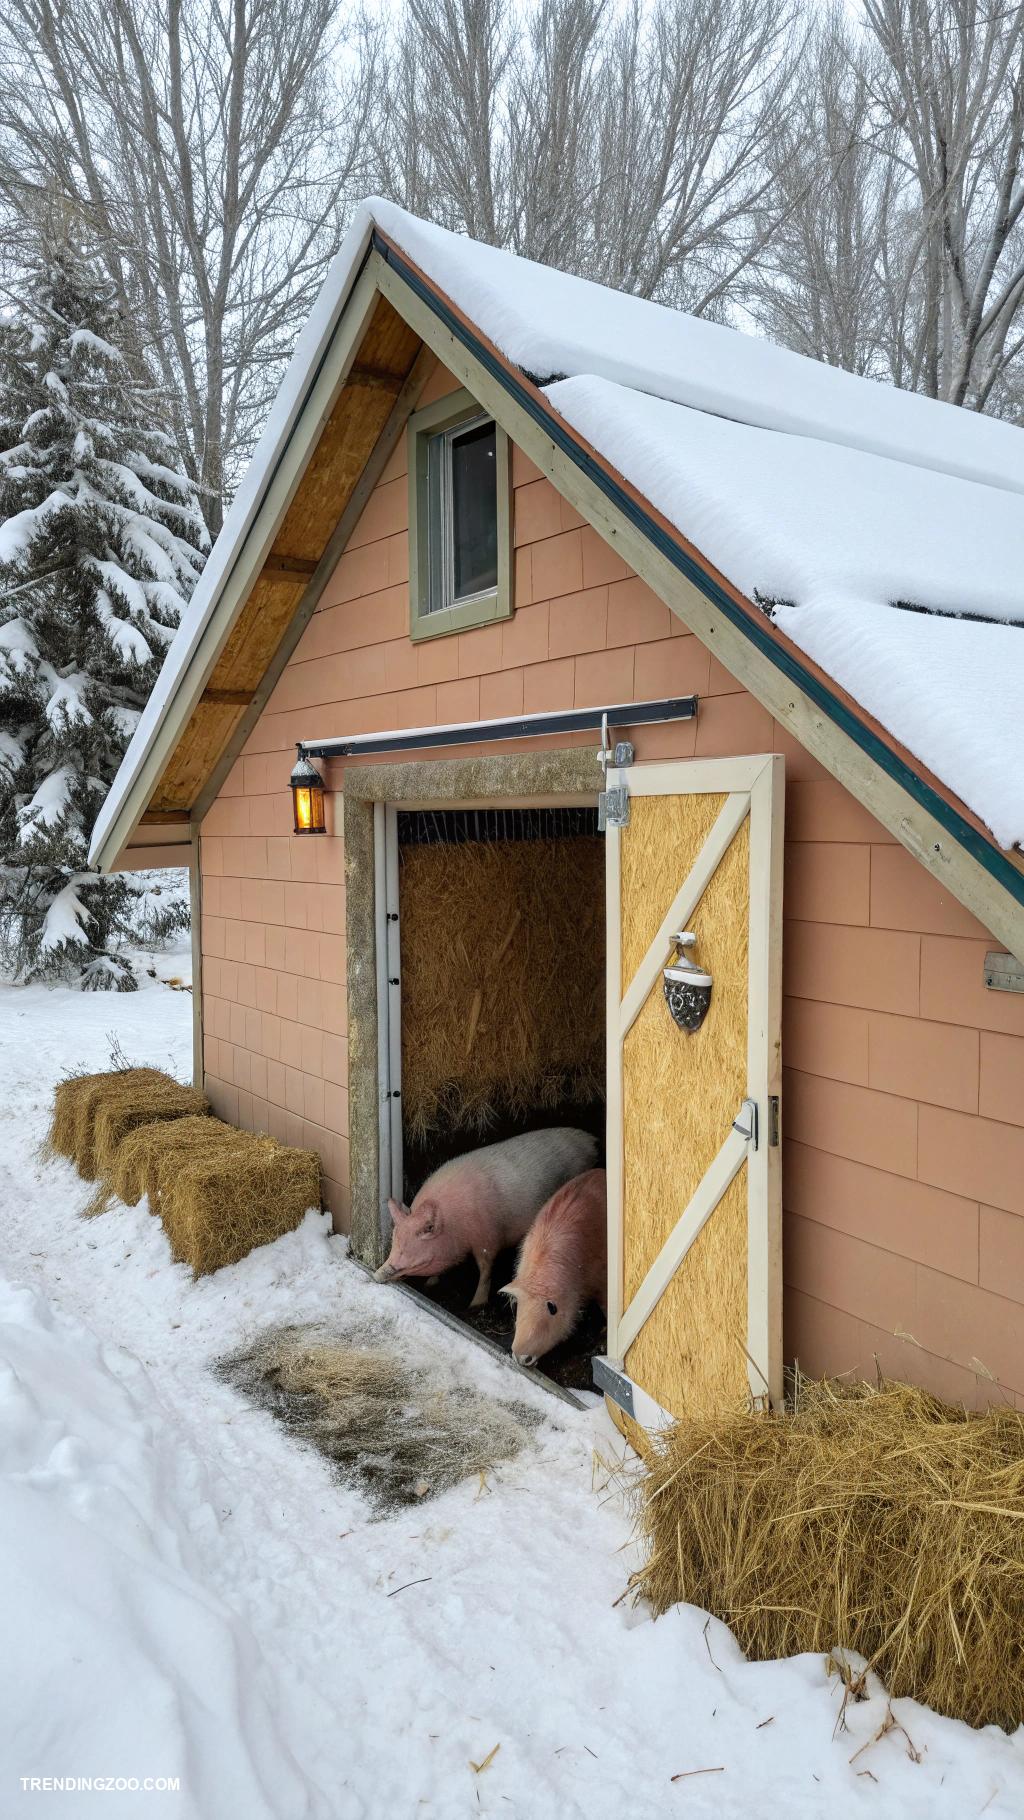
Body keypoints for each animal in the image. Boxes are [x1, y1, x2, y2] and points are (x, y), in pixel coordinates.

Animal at [374, 1127, 598, 1308]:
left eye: (408, 1252)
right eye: (394, 1244)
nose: (376, 1274)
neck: (455, 1227)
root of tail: (591, 1139)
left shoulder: (488, 1237)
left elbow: (485, 1269)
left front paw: (475, 1305)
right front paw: (431, 1283)